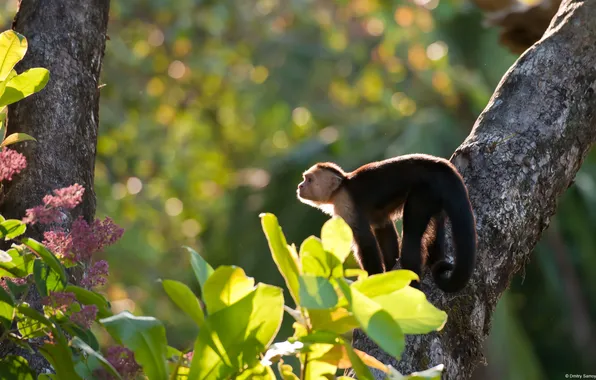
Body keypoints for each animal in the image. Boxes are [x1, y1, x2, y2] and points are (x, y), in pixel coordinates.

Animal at [296, 153, 478, 292]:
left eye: (309, 180)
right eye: (304, 179)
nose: (300, 186)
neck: (341, 187)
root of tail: (440, 165)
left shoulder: (344, 203)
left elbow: (365, 242)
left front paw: (372, 280)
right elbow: (383, 228)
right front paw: (389, 270)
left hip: (425, 191)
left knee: (411, 235)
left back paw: (413, 282)